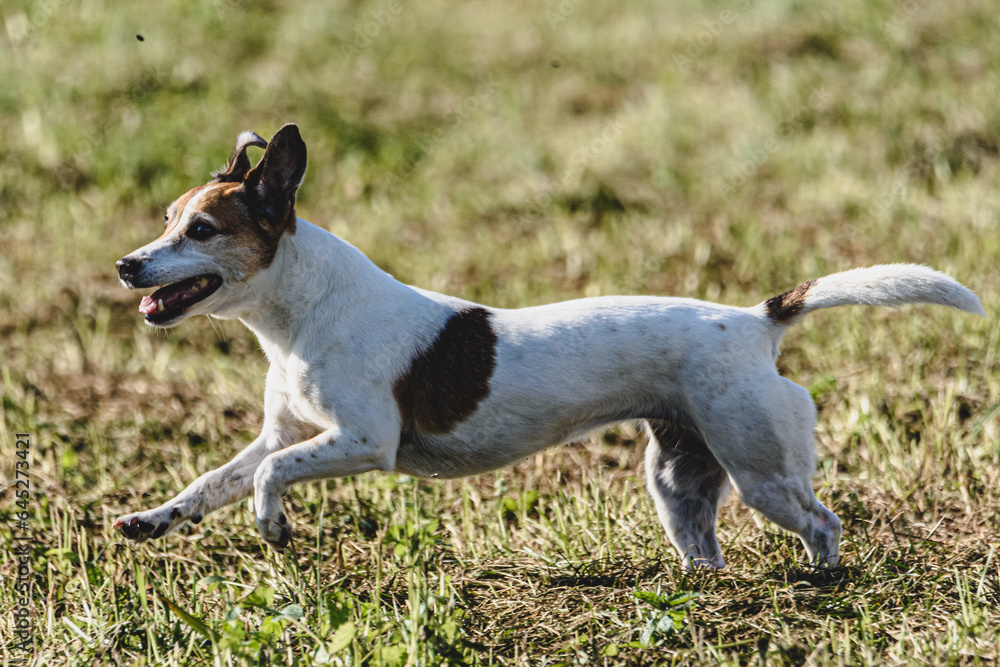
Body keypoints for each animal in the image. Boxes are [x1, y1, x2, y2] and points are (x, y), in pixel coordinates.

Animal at [113, 124, 980, 568]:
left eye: (202, 230)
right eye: (165, 218)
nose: (126, 265)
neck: (300, 314)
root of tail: (757, 319)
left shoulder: (364, 440)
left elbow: (269, 477)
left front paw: (273, 524)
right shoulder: (284, 431)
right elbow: (216, 480)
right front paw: (154, 518)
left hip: (763, 467)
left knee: (822, 522)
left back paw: (821, 579)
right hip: (679, 479)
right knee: (706, 544)